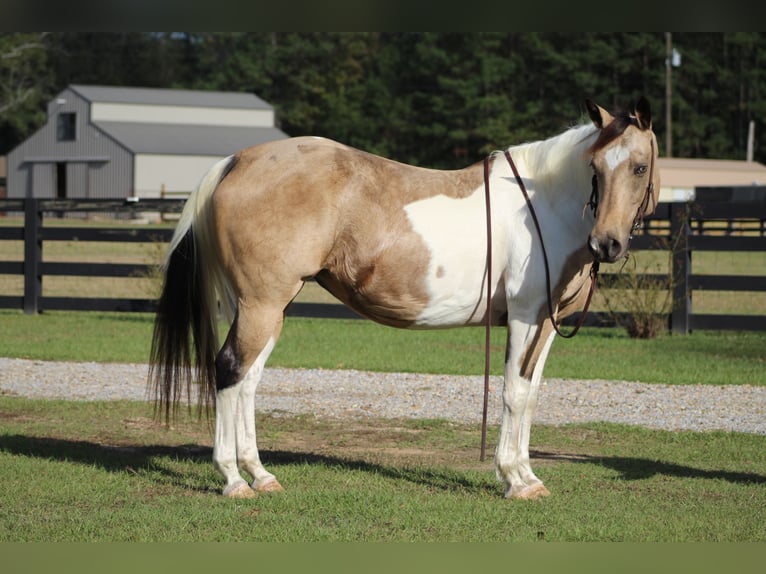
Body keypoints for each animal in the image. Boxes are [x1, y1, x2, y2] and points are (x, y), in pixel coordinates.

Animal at [148, 97, 660, 502]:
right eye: (596, 168)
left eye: (638, 167)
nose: (607, 244)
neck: (542, 204)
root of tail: (238, 160)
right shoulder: (524, 316)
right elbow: (513, 393)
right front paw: (514, 480)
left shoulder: (546, 323)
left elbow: (530, 394)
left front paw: (528, 476)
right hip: (262, 304)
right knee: (229, 369)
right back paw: (233, 480)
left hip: (266, 307)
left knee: (247, 380)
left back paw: (260, 475)